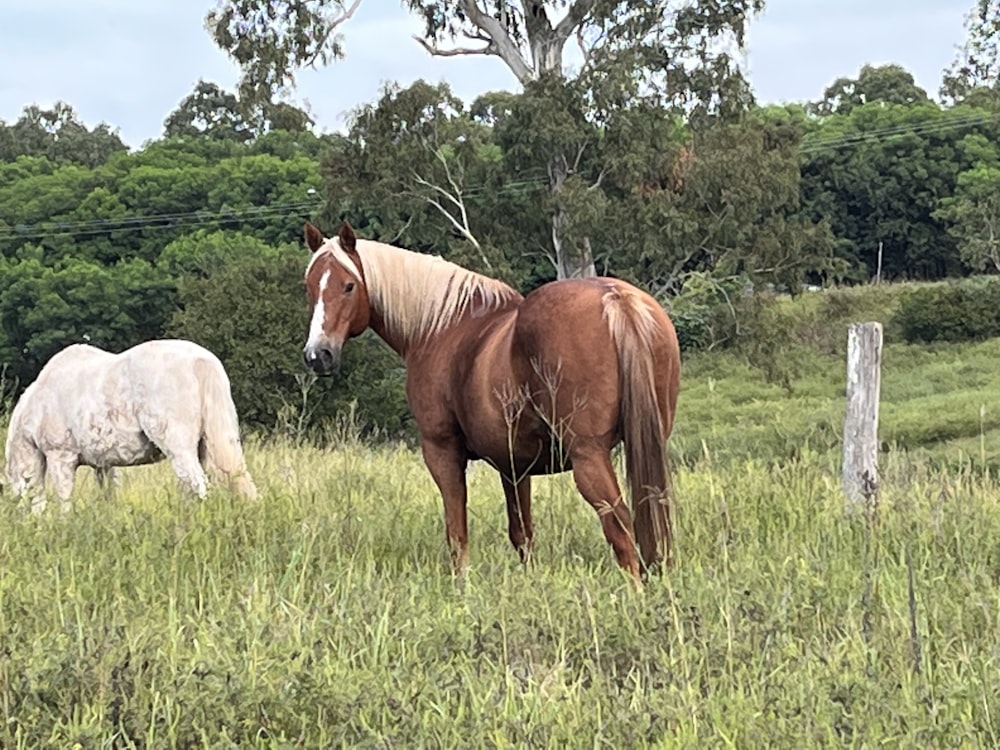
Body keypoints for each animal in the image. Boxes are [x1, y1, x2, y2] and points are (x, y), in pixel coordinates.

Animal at [5, 340, 256, 512]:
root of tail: (201, 362)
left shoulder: (61, 457)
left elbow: (64, 499)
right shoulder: (103, 464)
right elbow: (108, 495)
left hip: (180, 449)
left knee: (198, 486)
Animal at [302, 220, 680, 584]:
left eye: (348, 286)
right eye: (310, 287)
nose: (318, 356)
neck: (440, 328)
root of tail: (616, 299)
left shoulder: (443, 453)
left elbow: (457, 534)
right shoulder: (514, 466)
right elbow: (522, 534)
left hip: (589, 456)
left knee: (620, 526)